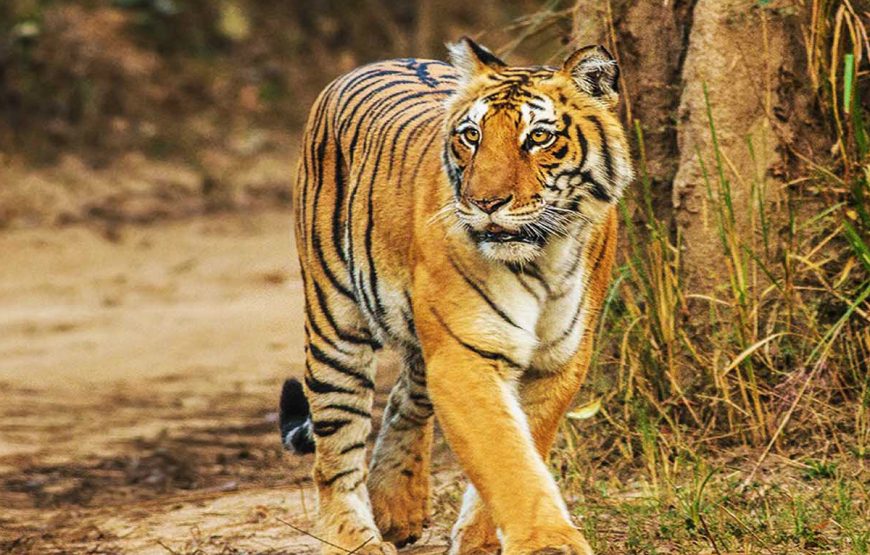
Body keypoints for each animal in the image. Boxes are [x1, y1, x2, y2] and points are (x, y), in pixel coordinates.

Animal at [280, 35, 632, 555]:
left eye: (539, 138)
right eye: (471, 136)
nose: (485, 203)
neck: (544, 257)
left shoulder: (560, 359)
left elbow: (525, 446)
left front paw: (482, 540)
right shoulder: (465, 354)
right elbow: (505, 456)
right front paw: (546, 542)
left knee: (405, 396)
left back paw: (396, 505)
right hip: (334, 322)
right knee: (335, 449)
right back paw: (355, 537)